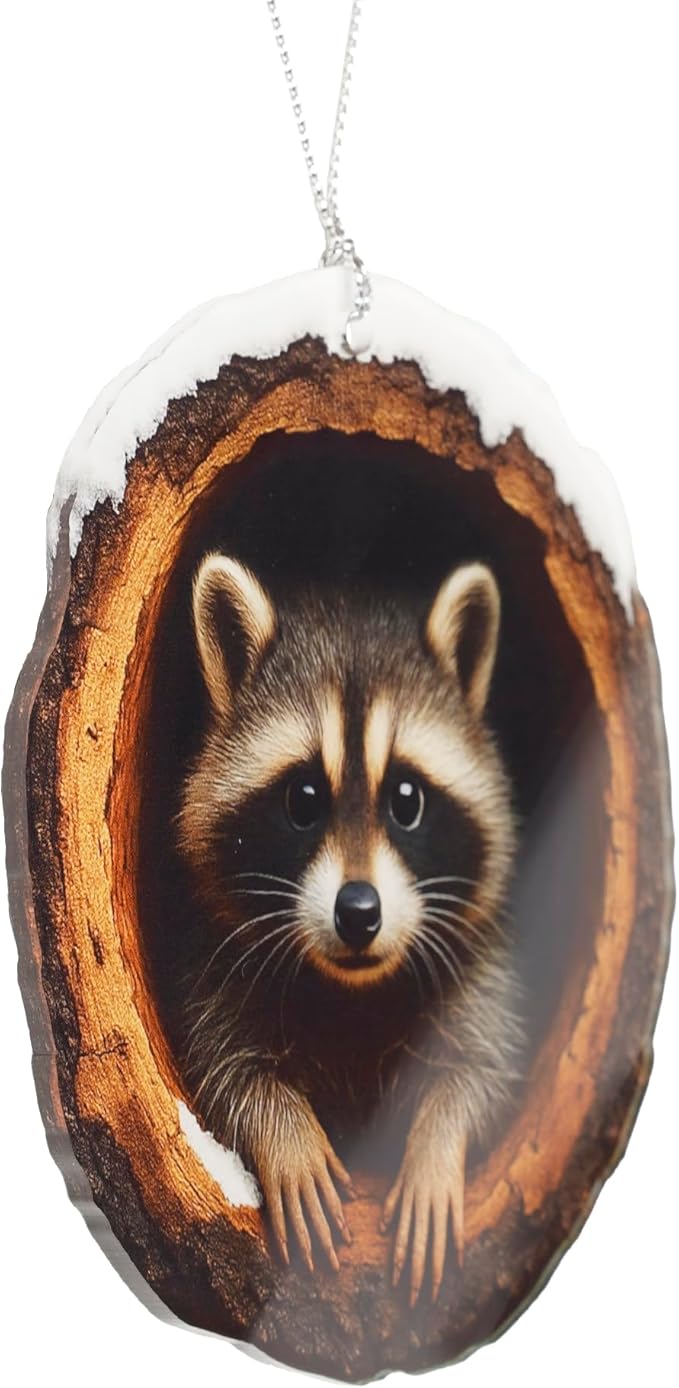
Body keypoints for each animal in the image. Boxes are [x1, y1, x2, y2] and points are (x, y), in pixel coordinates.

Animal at [177, 553, 522, 1305]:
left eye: (406, 799)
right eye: (304, 799)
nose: (359, 912)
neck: (350, 989)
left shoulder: (477, 957)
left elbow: (488, 1067)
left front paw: (437, 1138)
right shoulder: (212, 950)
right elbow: (218, 1064)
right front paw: (282, 1127)